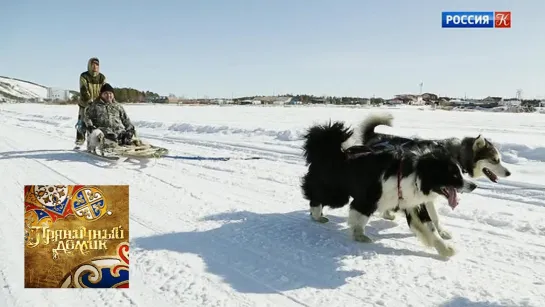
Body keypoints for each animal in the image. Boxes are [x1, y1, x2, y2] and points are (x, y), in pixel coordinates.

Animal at [300, 121, 474, 258]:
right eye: (454, 175)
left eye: (461, 172)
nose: (473, 185)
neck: (416, 174)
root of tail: (330, 151)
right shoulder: (368, 198)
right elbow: (359, 218)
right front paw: (360, 236)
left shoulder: (412, 204)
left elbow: (429, 228)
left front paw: (446, 250)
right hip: (336, 192)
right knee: (316, 197)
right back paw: (317, 216)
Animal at [356, 113, 510, 241]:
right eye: (495, 160)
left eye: (499, 159)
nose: (509, 173)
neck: (455, 154)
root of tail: (375, 136)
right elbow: (433, 216)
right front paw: (440, 232)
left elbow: (434, 217)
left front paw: (440, 231)